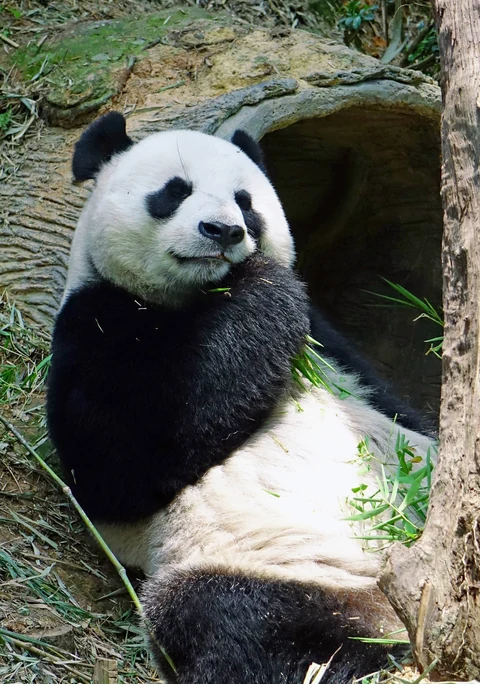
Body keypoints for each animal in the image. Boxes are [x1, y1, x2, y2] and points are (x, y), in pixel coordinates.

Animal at [47, 112, 435, 684]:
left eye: (246, 201)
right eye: (174, 191)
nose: (224, 231)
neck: (196, 297)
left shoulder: (336, 349)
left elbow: (391, 402)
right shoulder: (94, 323)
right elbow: (118, 462)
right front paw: (260, 288)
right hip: (273, 559)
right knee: (251, 622)